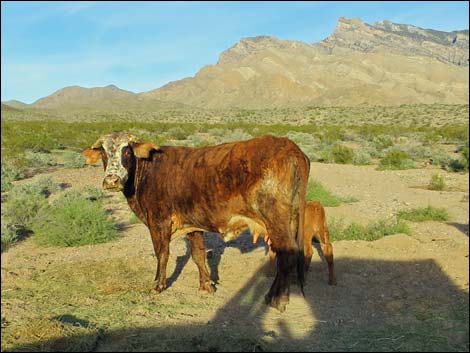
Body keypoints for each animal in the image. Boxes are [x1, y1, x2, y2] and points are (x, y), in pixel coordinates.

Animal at [82, 132, 310, 310]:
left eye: (127, 151)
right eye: (104, 152)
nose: (111, 180)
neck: (148, 171)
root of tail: (291, 148)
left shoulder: (158, 221)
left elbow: (162, 253)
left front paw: (158, 284)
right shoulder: (191, 224)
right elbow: (198, 255)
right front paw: (206, 285)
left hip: (276, 220)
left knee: (287, 255)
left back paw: (277, 299)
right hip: (290, 220)